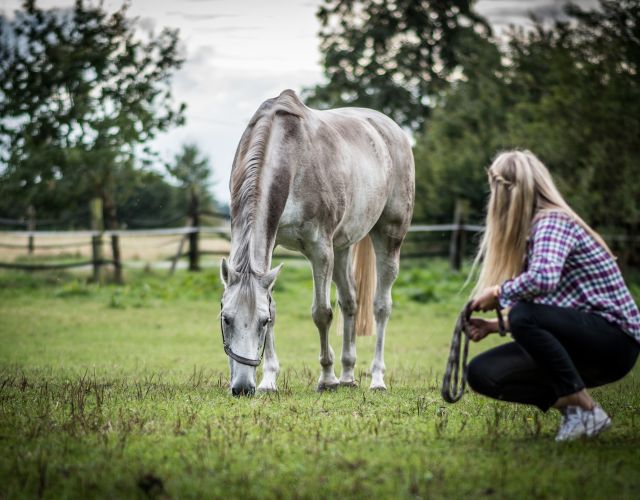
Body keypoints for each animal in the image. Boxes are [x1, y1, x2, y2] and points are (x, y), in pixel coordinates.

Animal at [220, 90, 416, 394]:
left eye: (261, 323)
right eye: (226, 319)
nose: (242, 387)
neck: (289, 154)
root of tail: (392, 130)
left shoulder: (320, 249)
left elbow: (322, 313)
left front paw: (326, 378)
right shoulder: (274, 244)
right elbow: (277, 305)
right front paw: (269, 380)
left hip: (388, 235)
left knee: (381, 307)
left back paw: (376, 379)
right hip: (342, 247)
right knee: (350, 302)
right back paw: (347, 374)